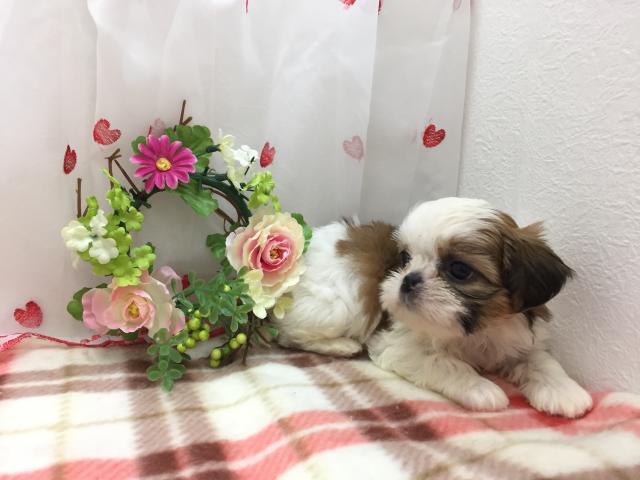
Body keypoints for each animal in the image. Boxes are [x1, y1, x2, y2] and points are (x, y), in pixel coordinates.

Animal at [274, 197, 593, 418]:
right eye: (404, 258)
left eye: (459, 270)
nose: (408, 279)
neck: (478, 328)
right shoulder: (397, 345)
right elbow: (444, 362)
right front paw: (479, 388)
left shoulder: (519, 336)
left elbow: (542, 361)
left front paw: (565, 391)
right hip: (338, 306)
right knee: (290, 333)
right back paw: (341, 345)